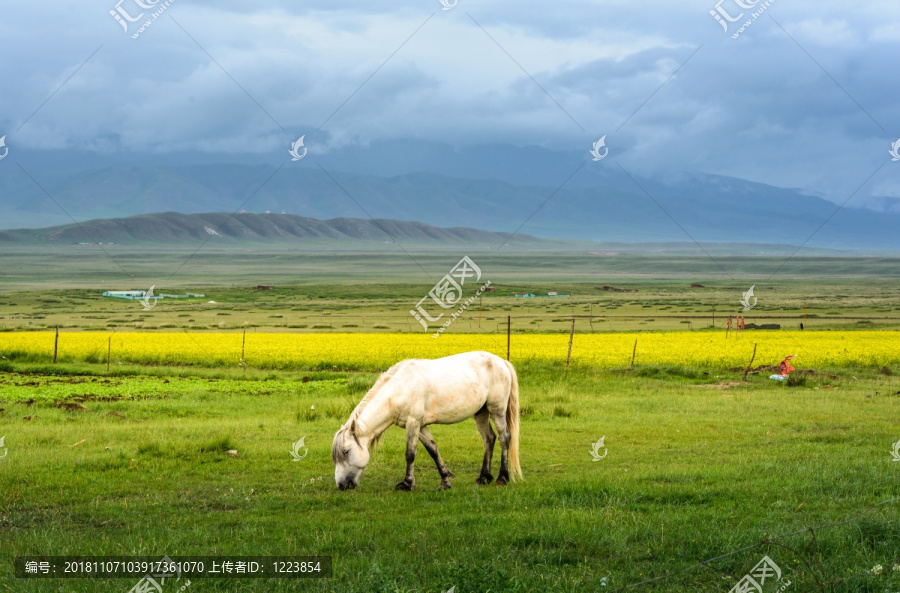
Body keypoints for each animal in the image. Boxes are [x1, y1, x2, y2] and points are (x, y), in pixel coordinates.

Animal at [332, 352, 520, 490]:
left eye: (346, 451)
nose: (341, 485)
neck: (399, 389)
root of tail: (502, 362)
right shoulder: (420, 426)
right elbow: (433, 450)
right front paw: (445, 481)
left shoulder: (413, 423)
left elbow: (410, 454)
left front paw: (407, 484)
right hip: (480, 413)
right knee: (489, 438)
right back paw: (484, 477)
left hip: (497, 410)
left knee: (504, 437)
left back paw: (502, 478)